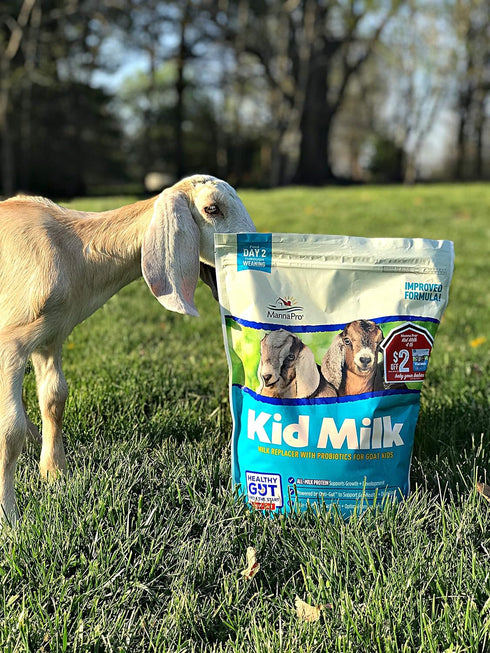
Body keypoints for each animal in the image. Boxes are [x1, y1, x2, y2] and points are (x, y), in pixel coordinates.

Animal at [0, 174, 255, 525]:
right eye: (212, 209)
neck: (72, 249)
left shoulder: (50, 336)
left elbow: (55, 398)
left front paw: (54, 475)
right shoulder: (11, 342)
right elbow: (9, 430)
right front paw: (10, 517)